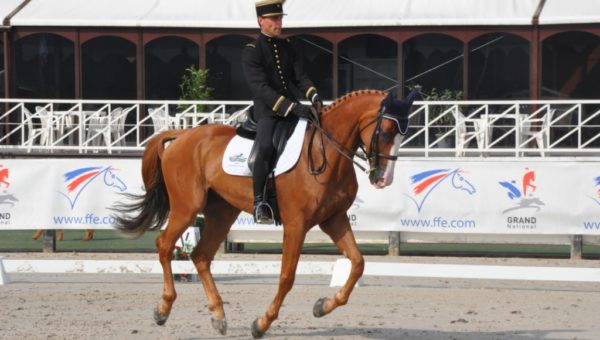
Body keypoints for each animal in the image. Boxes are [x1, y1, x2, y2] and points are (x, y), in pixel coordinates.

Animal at [113, 89, 412, 338]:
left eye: (402, 135)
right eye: (386, 132)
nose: (383, 179)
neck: (325, 152)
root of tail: (181, 137)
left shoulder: (333, 220)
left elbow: (358, 263)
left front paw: (322, 306)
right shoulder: (297, 224)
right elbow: (287, 277)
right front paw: (261, 323)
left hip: (222, 213)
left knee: (200, 256)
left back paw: (218, 315)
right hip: (187, 208)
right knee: (165, 245)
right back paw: (163, 309)